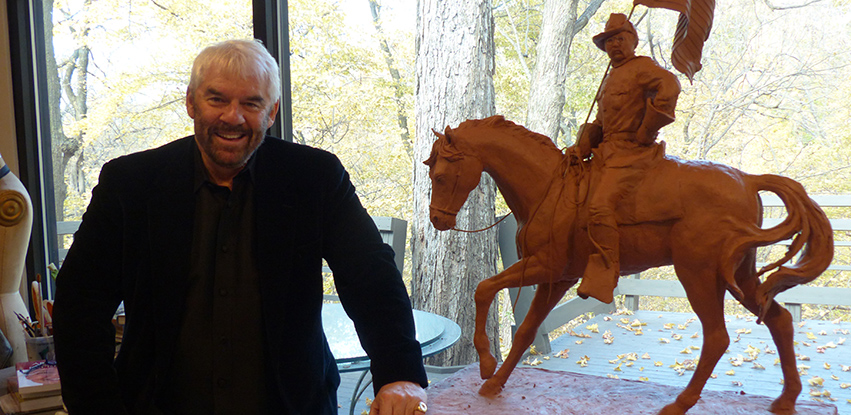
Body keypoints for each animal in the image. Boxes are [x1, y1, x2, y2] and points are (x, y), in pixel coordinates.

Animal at [426, 114, 832, 415]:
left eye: (440, 175)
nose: (438, 220)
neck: (549, 189)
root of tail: (748, 179)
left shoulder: (544, 266)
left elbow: (483, 289)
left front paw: (485, 363)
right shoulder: (557, 277)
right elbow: (526, 329)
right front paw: (495, 383)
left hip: (698, 275)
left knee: (718, 336)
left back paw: (679, 404)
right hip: (740, 275)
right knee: (779, 319)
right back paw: (785, 400)